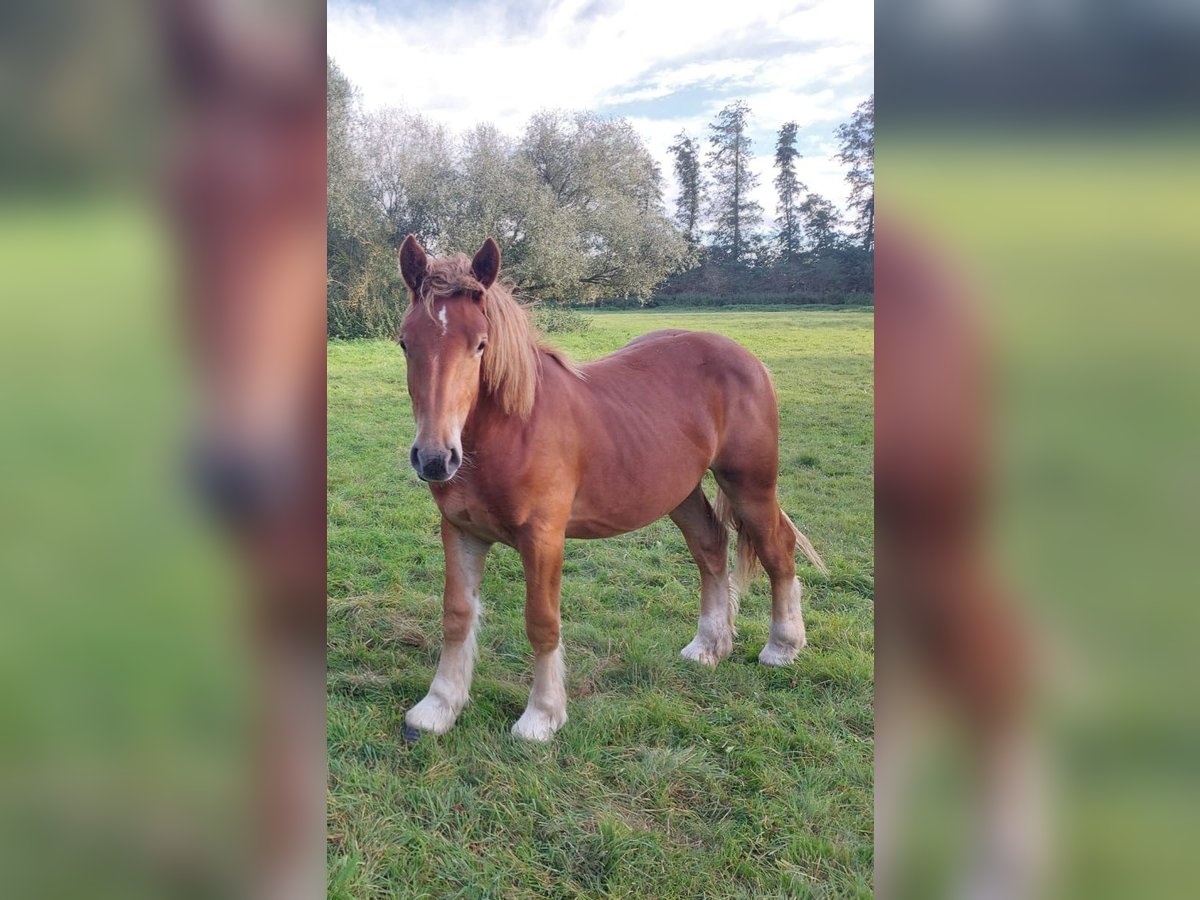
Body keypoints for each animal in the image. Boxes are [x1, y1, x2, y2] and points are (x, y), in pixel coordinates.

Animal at [398, 236, 830, 744]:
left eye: (480, 344)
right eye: (406, 342)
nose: (434, 458)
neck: (512, 429)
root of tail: (749, 359)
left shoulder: (543, 539)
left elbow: (542, 623)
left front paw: (541, 716)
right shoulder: (460, 531)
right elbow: (457, 615)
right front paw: (438, 708)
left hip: (750, 484)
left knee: (777, 549)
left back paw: (782, 646)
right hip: (679, 491)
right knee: (710, 547)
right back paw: (708, 646)